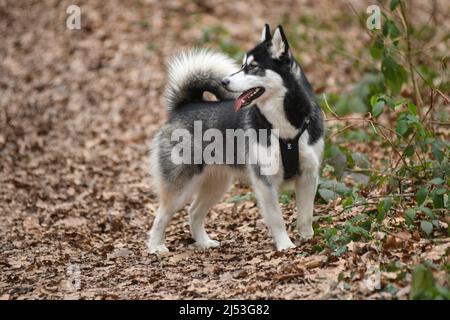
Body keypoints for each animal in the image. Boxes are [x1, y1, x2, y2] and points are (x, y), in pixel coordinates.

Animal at [149, 24, 326, 252]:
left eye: (252, 67)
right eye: (242, 65)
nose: (224, 81)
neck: (284, 127)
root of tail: (185, 106)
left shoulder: (308, 176)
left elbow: (306, 215)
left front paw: (308, 240)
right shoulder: (265, 181)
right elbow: (276, 218)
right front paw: (285, 245)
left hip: (217, 185)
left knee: (194, 212)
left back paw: (204, 242)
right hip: (180, 186)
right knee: (161, 215)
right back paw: (155, 247)